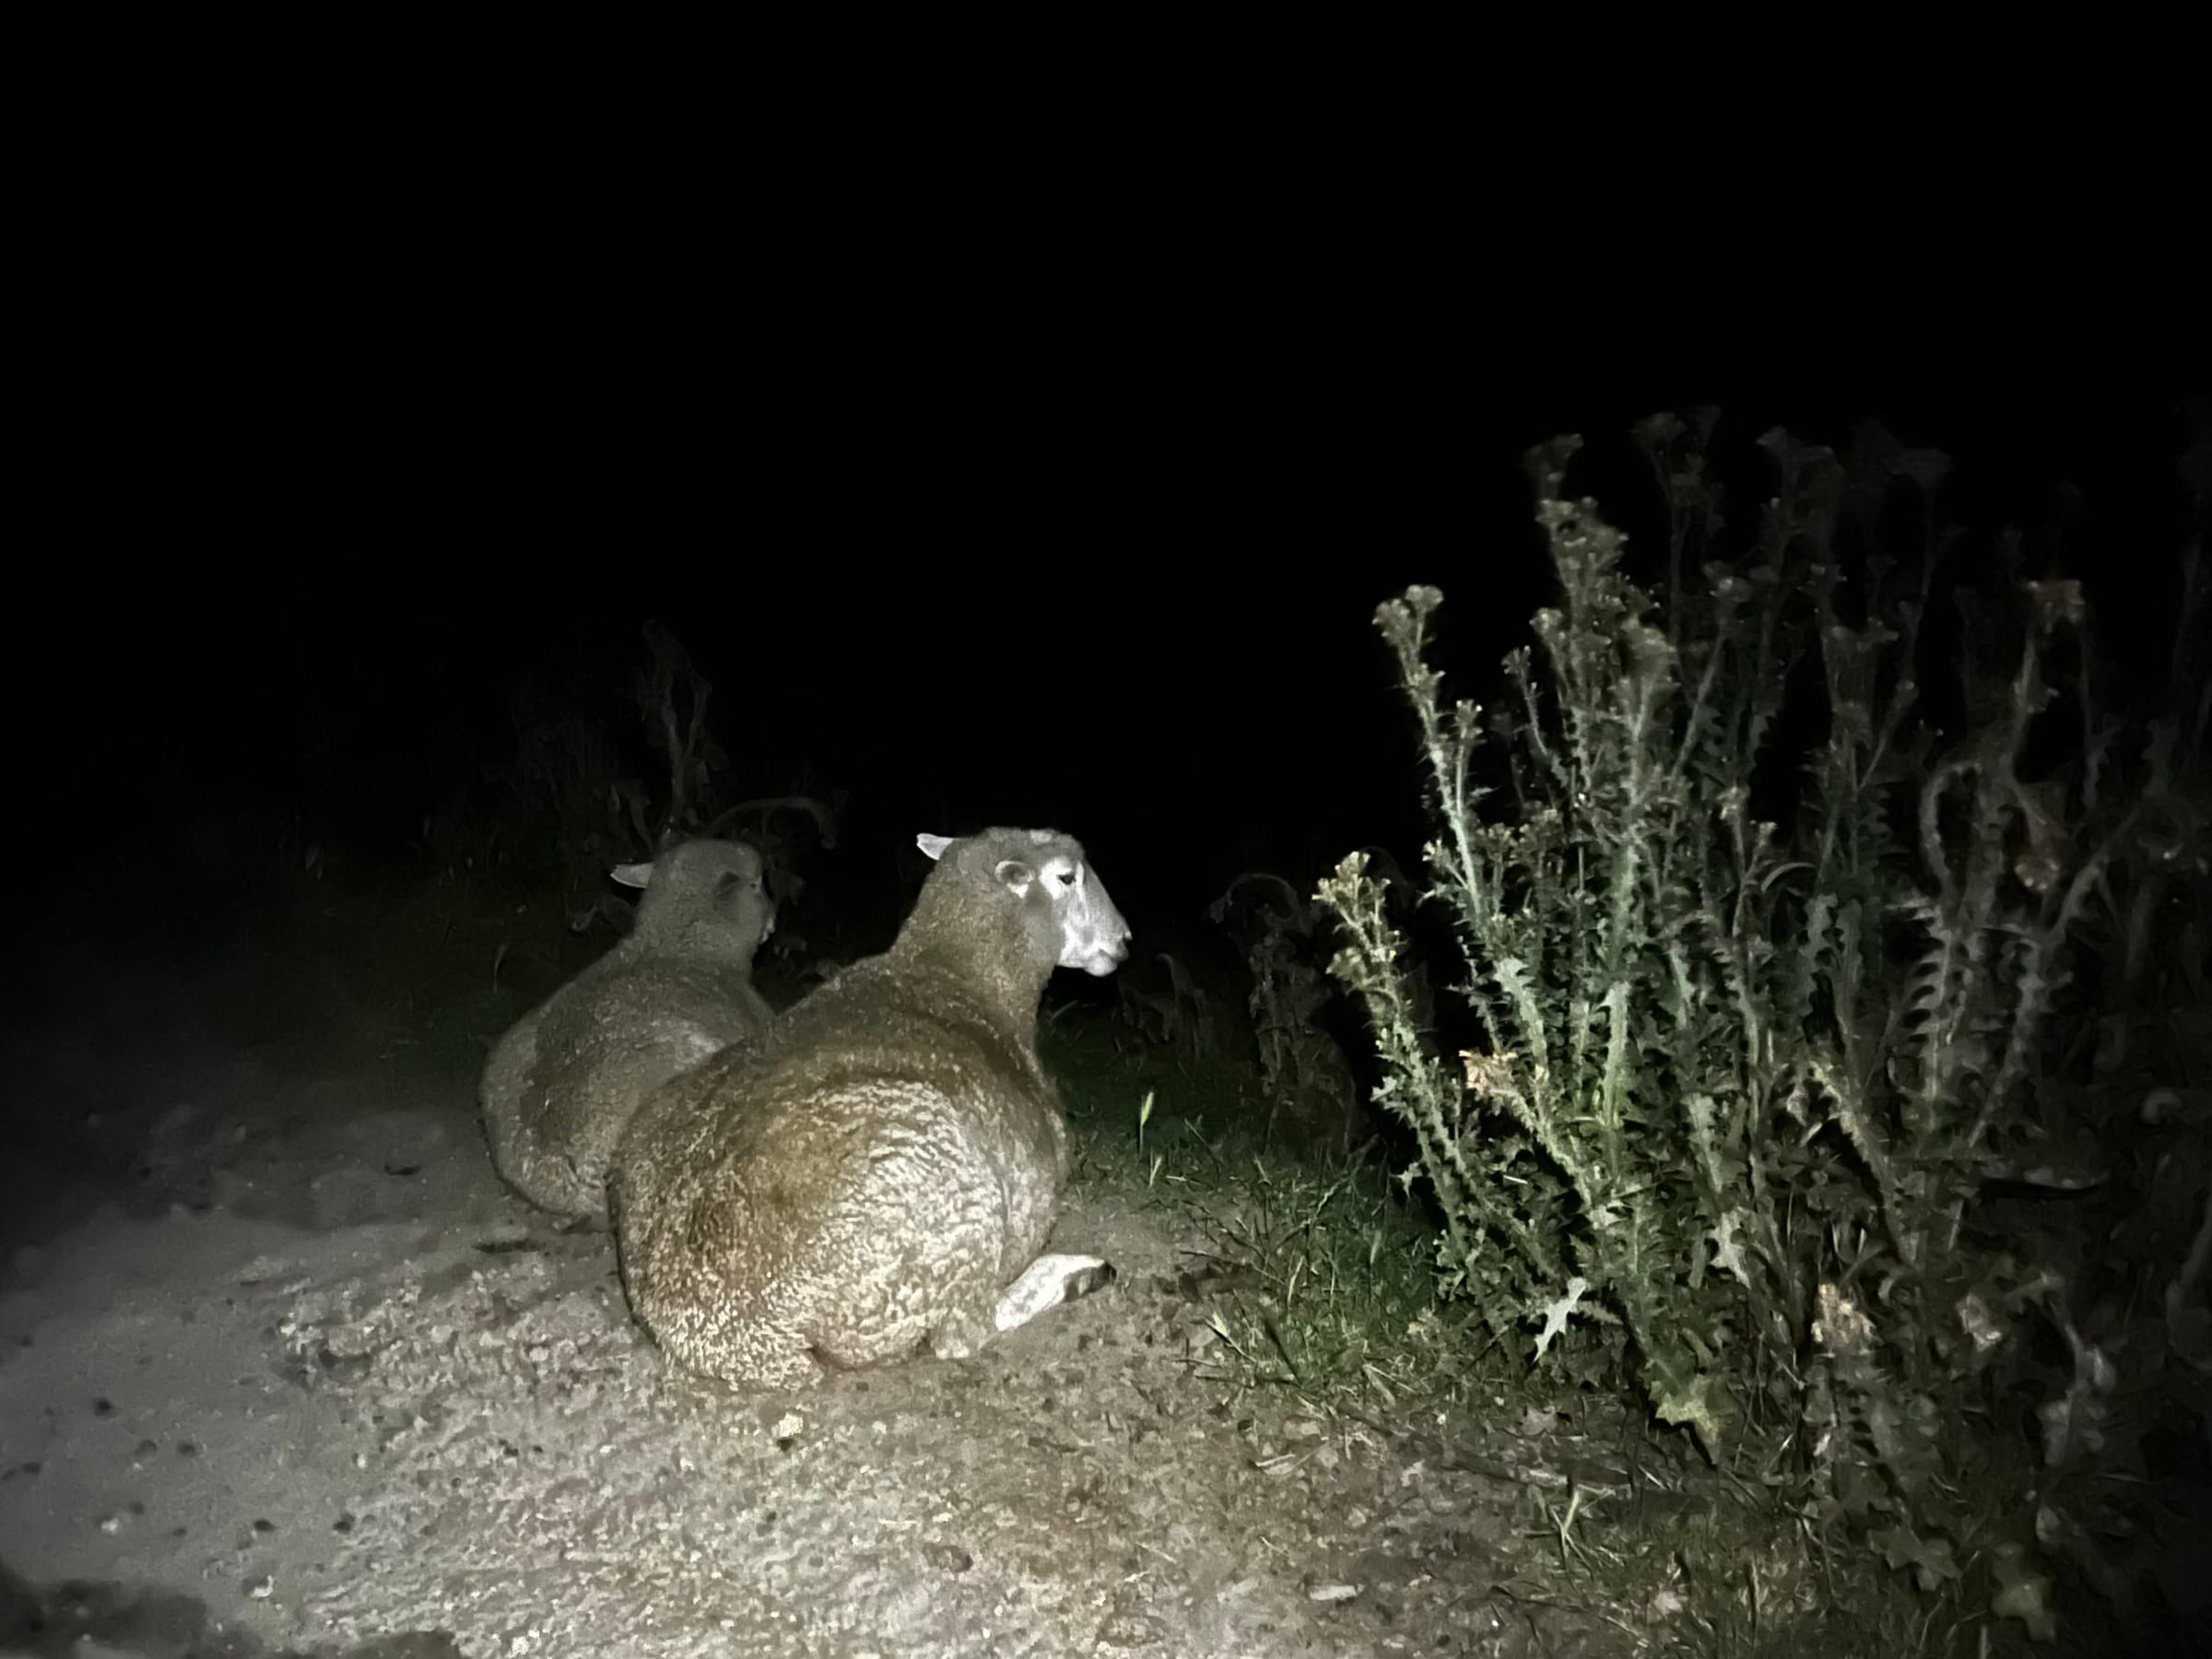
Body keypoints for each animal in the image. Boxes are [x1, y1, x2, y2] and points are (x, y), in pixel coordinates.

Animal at [610, 826, 1131, 1389]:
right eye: (1067, 877)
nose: (1124, 941)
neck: (964, 978)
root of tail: (729, 1339)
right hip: (951, 1210)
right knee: (963, 1332)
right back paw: (1073, 1274)